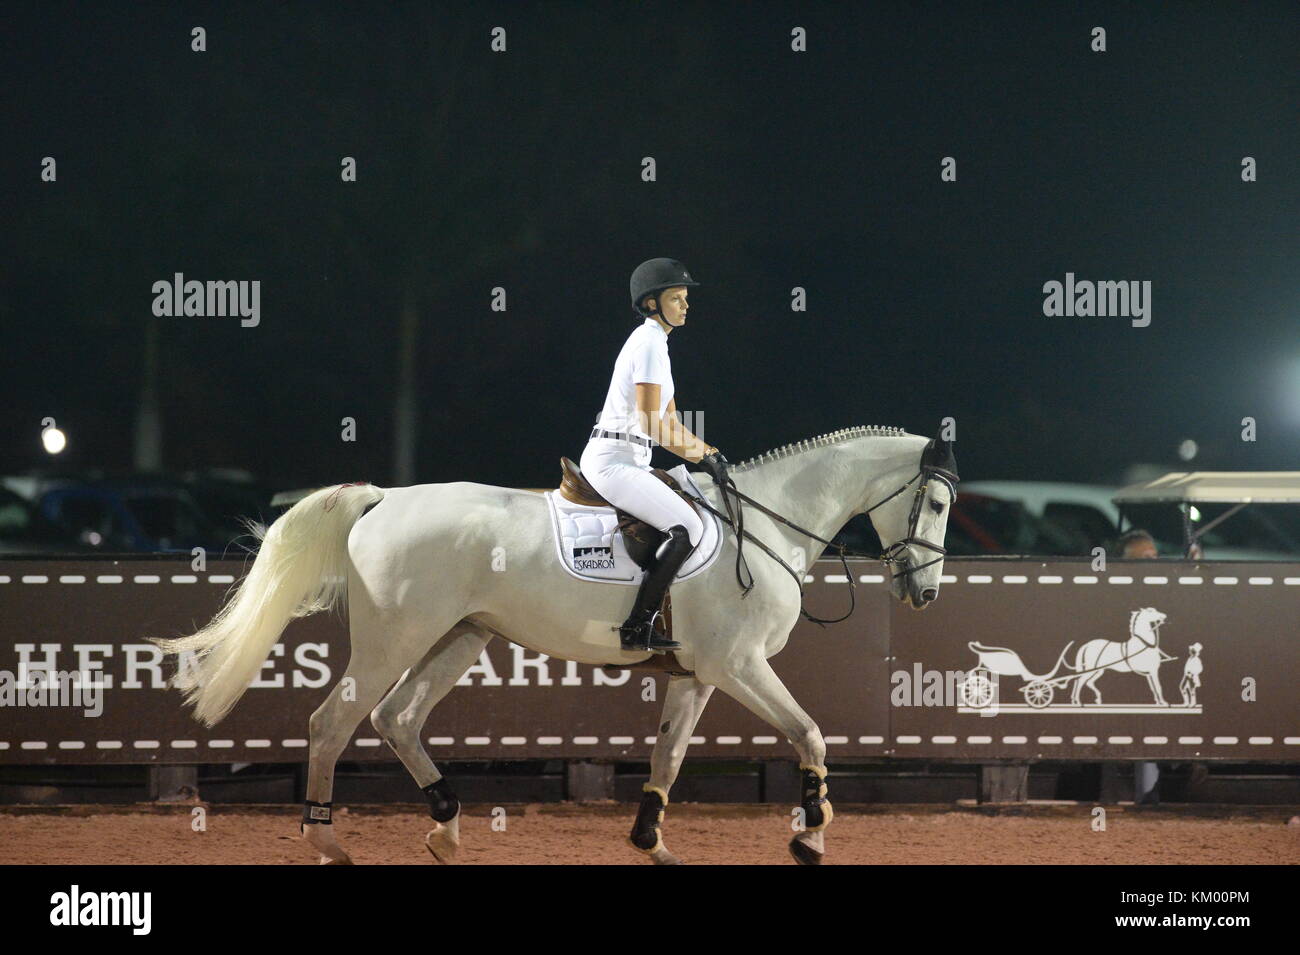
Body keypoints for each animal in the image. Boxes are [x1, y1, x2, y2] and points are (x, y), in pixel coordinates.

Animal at [157, 426, 961, 867]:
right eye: (939, 501)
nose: (925, 592)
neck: (766, 523)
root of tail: (384, 497)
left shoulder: (697, 673)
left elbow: (668, 756)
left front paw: (651, 841)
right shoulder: (739, 666)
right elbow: (811, 734)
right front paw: (811, 838)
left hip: (461, 635)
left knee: (397, 719)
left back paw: (447, 829)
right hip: (396, 638)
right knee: (334, 723)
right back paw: (327, 841)